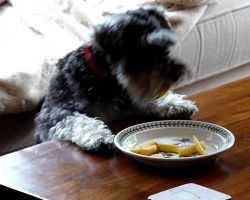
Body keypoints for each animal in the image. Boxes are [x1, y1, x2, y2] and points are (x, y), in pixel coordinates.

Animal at [34, 6, 198, 151]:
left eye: (166, 46)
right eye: (144, 51)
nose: (176, 74)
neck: (104, 77)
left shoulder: (132, 98)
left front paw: (176, 104)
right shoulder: (54, 115)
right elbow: (77, 120)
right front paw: (98, 137)